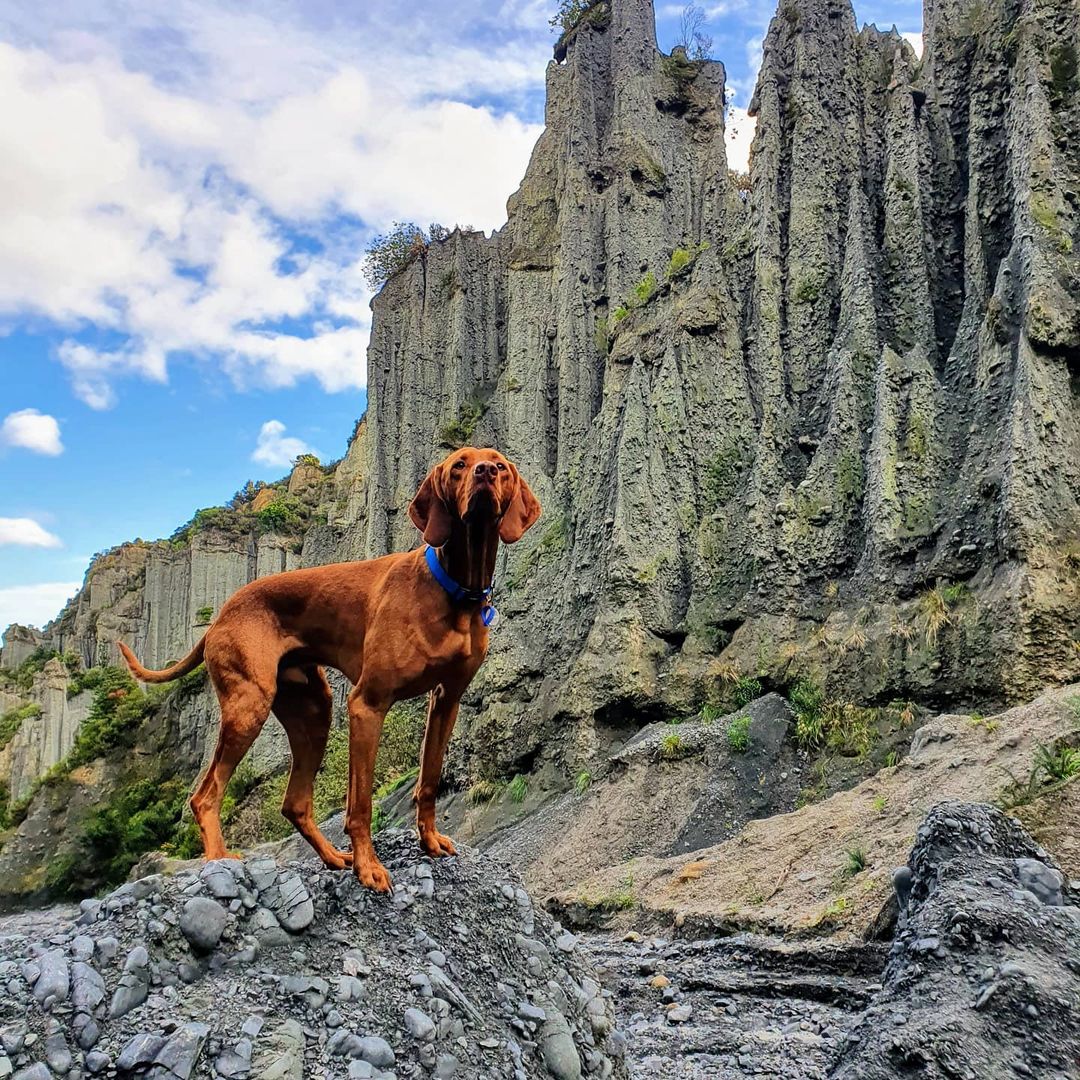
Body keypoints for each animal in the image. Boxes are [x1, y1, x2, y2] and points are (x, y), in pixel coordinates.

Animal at [118, 442, 540, 889]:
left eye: (500, 466)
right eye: (460, 464)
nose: (485, 473)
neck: (454, 589)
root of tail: (221, 615)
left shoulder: (447, 701)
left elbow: (428, 781)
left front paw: (428, 841)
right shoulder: (367, 704)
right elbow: (361, 804)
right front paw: (369, 867)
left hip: (313, 710)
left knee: (294, 803)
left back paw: (333, 858)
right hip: (249, 706)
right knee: (206, 795)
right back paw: (220, 861)